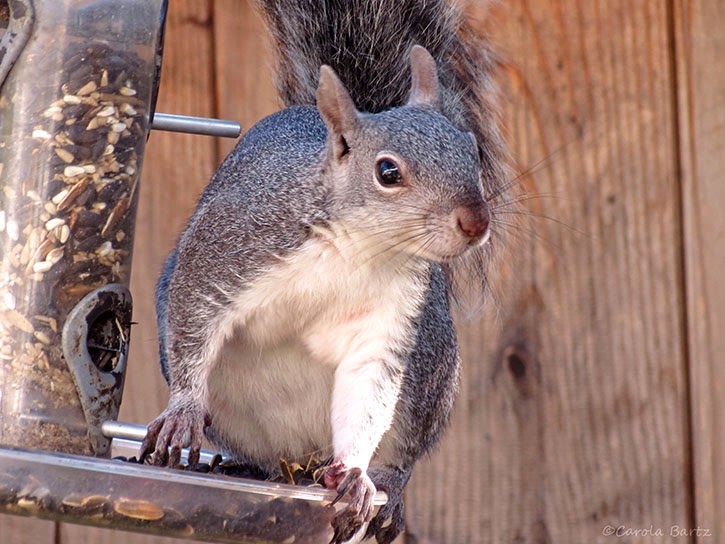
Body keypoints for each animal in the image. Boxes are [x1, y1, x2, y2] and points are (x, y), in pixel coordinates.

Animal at [140, 0, 507, 542]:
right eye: (388, 172)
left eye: (472, 152)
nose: (476, 221)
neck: (360, 249)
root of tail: (304, 455)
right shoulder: (232, 249)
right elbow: (195, 315)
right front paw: (182, 412)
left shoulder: (391, 319)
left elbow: (368, 389)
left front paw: (355, 472)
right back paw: (251, 468)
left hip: (430, 369)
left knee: (401, 449)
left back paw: (385, 485)